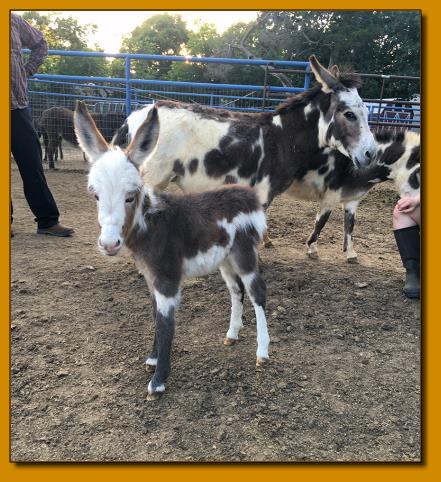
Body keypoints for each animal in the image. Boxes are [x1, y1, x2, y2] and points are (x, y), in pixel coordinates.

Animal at [74, 100, 270, 400]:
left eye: (131, 196)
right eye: (94, 194)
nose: (109, 244)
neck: (151, 224)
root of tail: (248, 195)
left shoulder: (167, 279)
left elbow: (166, 324)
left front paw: (158, 381)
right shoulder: (151, 278)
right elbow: (156, 316)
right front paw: (153, 359)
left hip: (245, 253)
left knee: (257, 292)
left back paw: (262, 353)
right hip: (225, 259)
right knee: (236, 290)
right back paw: (232, 334)